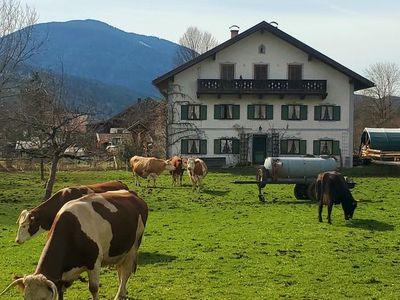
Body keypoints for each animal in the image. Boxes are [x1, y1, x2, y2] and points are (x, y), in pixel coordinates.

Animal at [0, 190, 148, 300]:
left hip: (134, 246)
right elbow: (60, 292)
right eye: (25, 297)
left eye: (44, 299)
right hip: (119, 250)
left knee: (126, 271)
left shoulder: (94, 263)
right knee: (120, 270)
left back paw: (119, 295)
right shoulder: (61, 278)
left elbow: (93, 288)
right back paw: (122, 292)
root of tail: (132, 194)